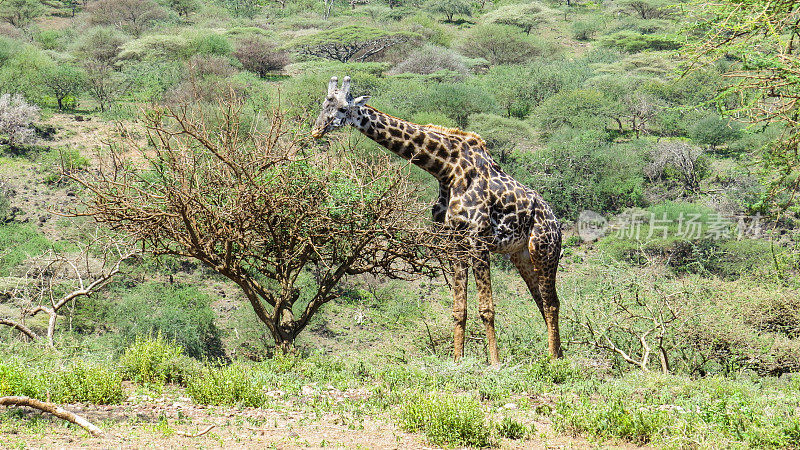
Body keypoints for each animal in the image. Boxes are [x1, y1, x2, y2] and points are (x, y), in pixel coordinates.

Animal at [312, 74, 564, 362]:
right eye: (323, 104)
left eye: (343, 108)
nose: (316, 130)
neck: (446, 169)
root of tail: (556, 221)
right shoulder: (453, 240)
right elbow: (459, 308)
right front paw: (457, 360)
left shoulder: (478, 239)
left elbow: (486, 308)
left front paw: (495, 363)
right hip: (520, 254)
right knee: (542, 301)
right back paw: (557, 355)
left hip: (544, 249)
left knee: (552, 302)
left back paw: (554, 360)